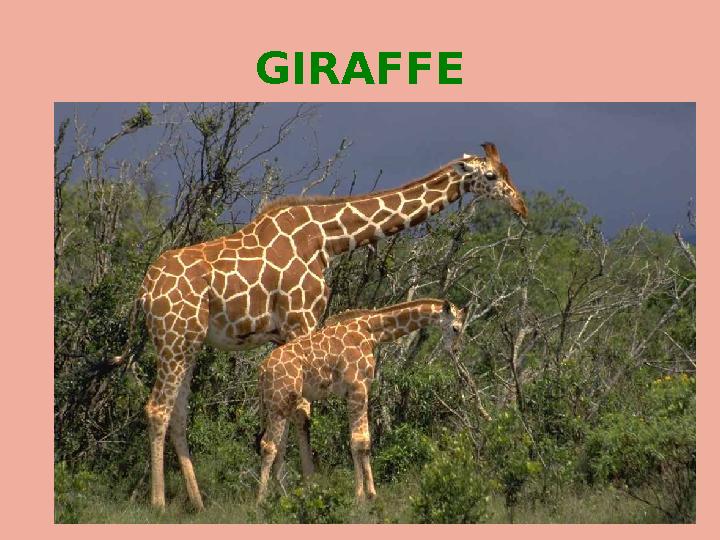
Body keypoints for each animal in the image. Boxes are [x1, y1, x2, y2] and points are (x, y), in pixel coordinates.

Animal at [256, 298, 465, 502]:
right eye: (456, 328)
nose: (455, 350)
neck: (372, 332)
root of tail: (263, 369)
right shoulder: (358, 388)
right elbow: (360, 441)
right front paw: (362, 496)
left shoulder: (357, 390)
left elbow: (361, 441)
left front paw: (369, 493)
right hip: (279, 400)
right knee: (268, 446)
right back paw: (261, 502)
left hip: (283, 402)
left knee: (279, 448)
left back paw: (284, 498)